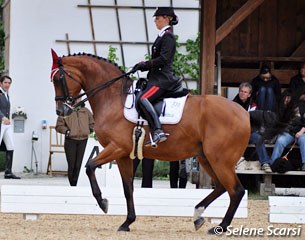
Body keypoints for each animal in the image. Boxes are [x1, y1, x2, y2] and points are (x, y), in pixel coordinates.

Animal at [50, 49, 249, 234]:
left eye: (58, 79)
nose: (60, 111)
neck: (113, 98)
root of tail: (244, 113)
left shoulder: (117, 148)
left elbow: (89, 166)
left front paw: (103, 202)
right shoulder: (123, 155)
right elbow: (127, 187)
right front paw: (127, 222)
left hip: (220, 160)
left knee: (236, 190)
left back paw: (221, 226)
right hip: (206, 158)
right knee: (222, 187)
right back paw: (198, 215)